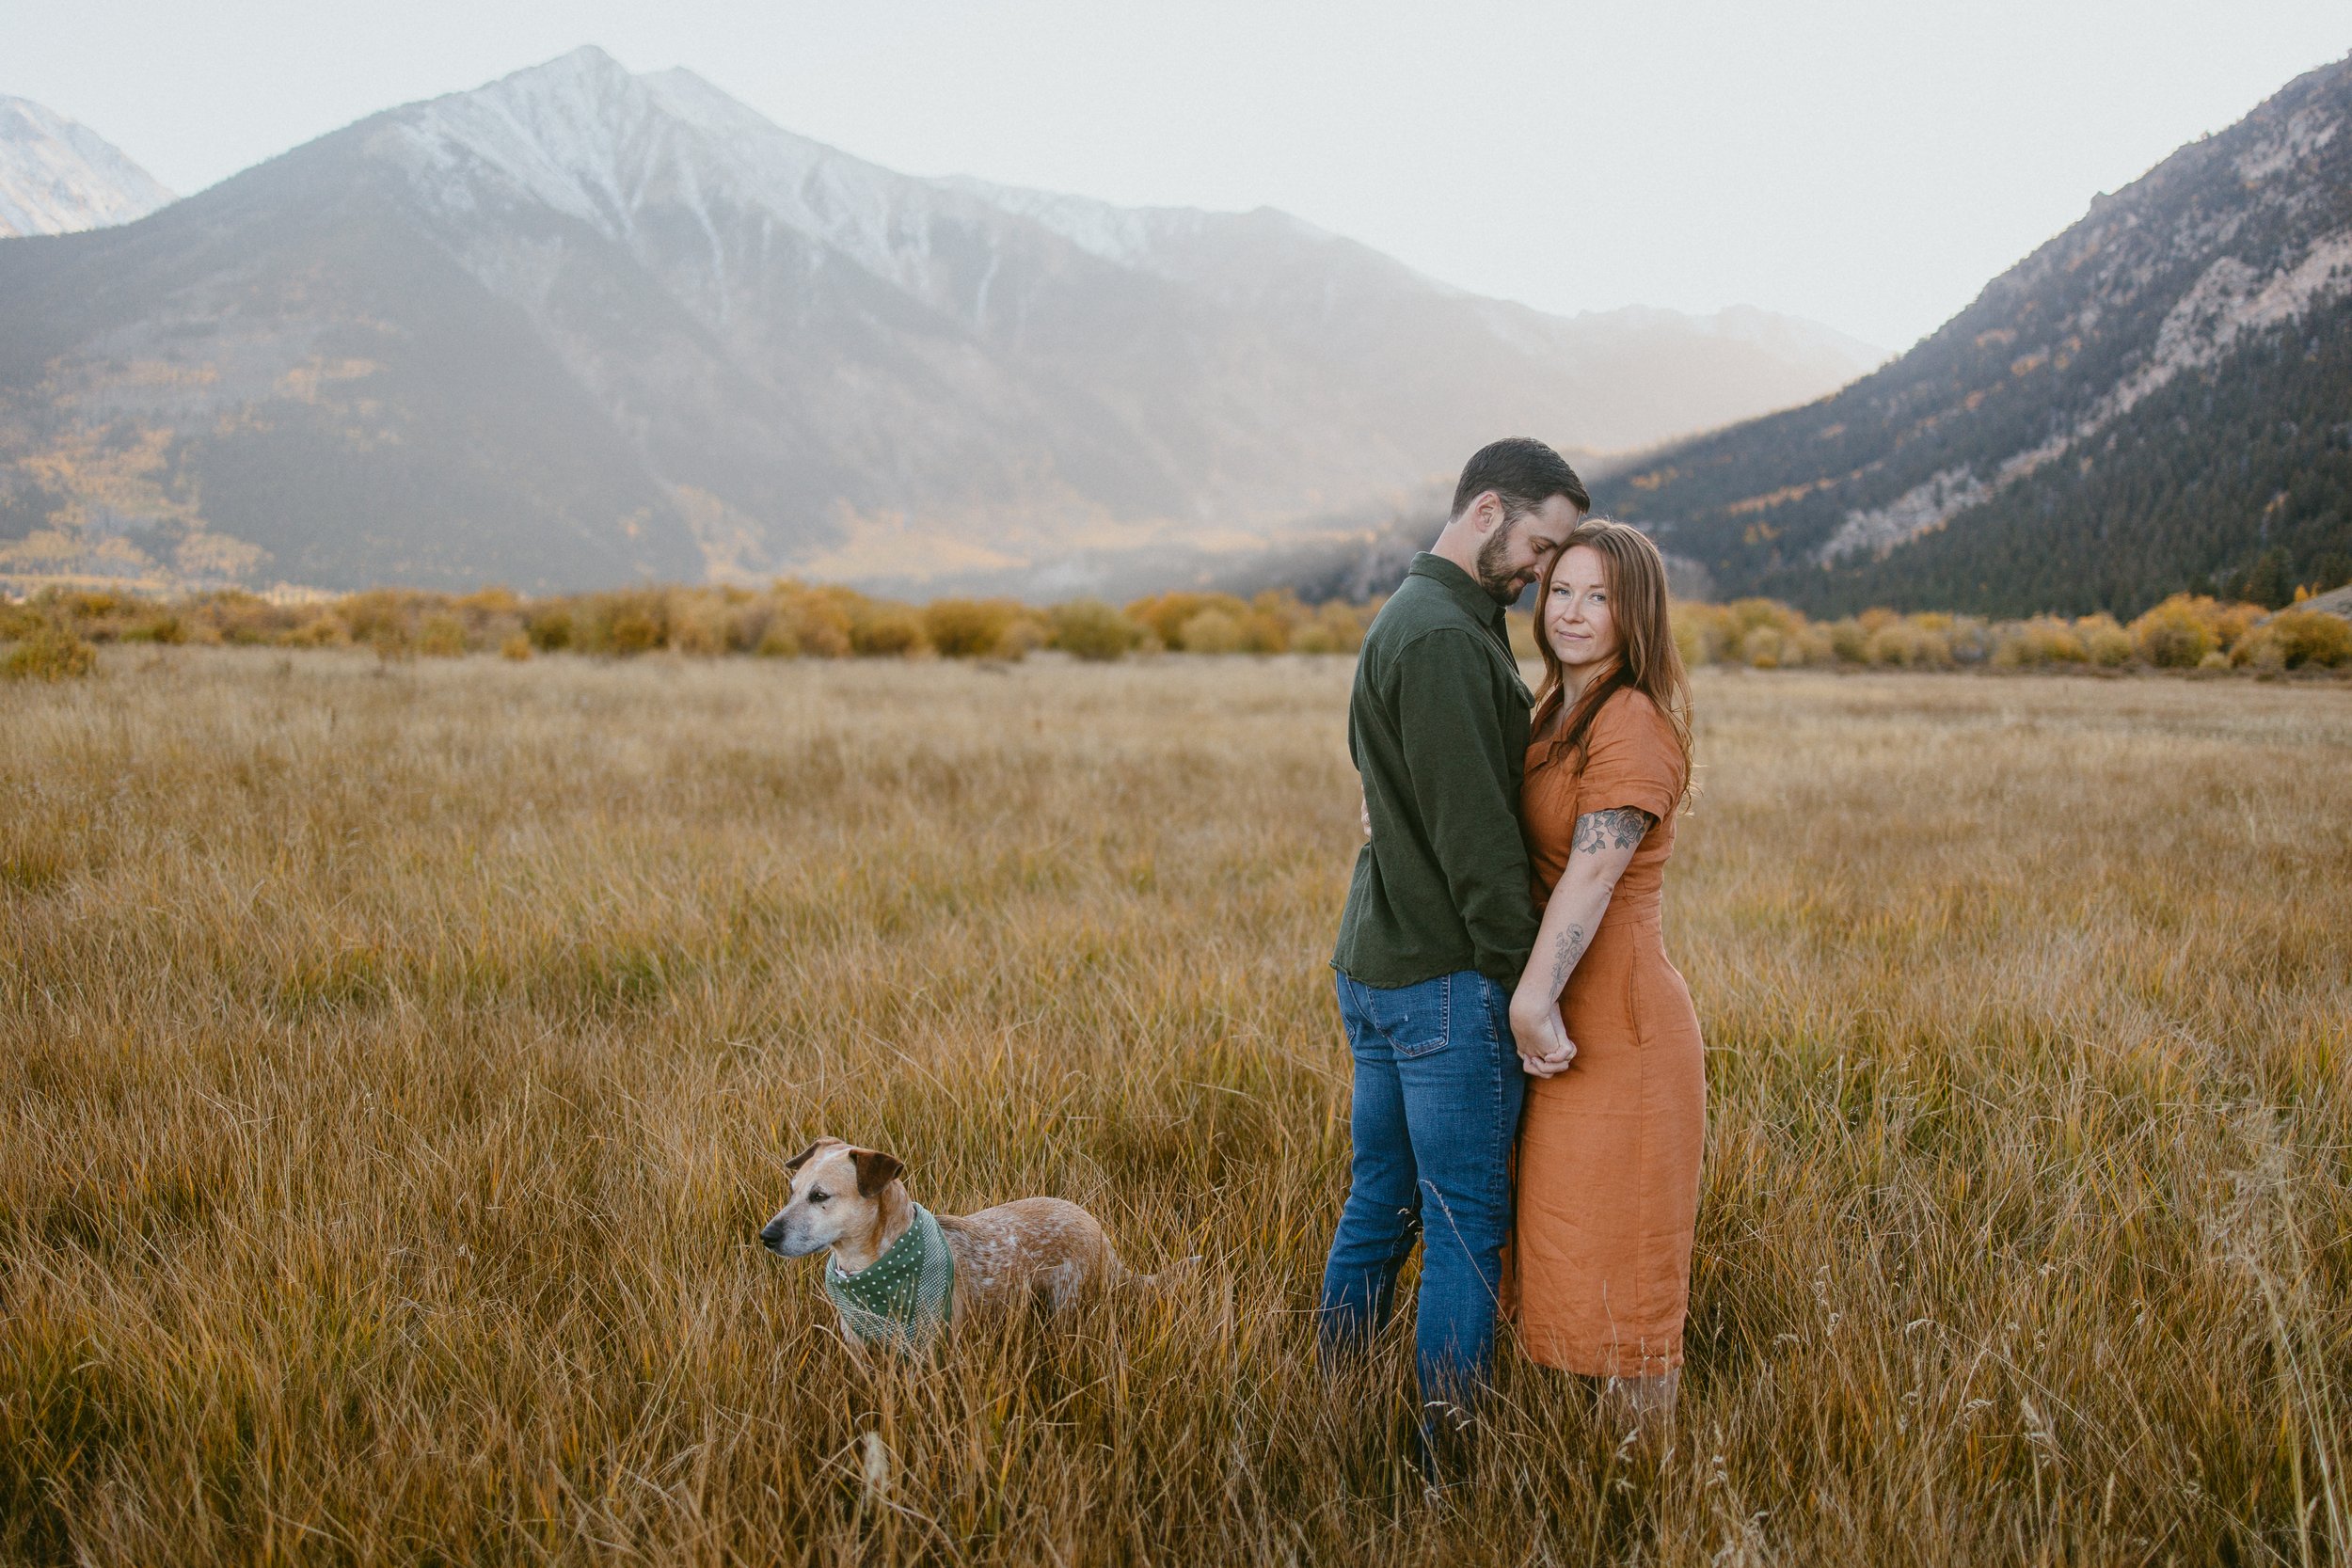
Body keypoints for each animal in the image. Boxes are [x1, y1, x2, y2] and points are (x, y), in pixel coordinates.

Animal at [757, 1142, 1171, 1354]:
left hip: (1067, 1310)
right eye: (792, 1191)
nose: (767, 1236)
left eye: (819, 1196)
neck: (871, 1271)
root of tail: (1100, 1234)